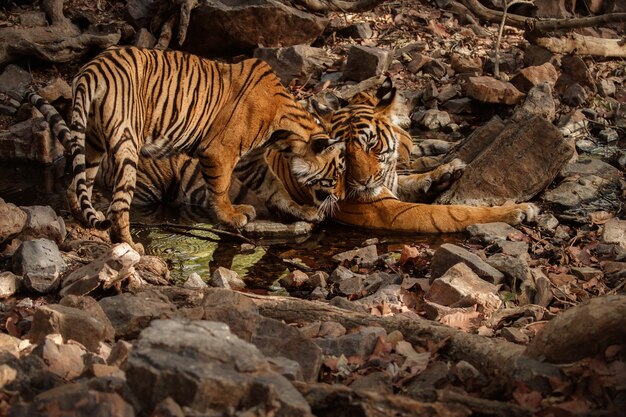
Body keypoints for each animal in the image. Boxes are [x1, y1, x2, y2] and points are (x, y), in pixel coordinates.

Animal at [53, 46, 344, 249]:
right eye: (338, 172)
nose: (341, 198)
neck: (283, 133)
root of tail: (93, 69)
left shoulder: (251, 161)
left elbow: (275, 187)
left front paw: (302, 210)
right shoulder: (219, 151)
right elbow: (220, 188)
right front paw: (231, 216)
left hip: (91, 141)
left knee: (75, 185)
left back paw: (83, 219)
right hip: (126, 144)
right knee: (117, 205)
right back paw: (131, 246)